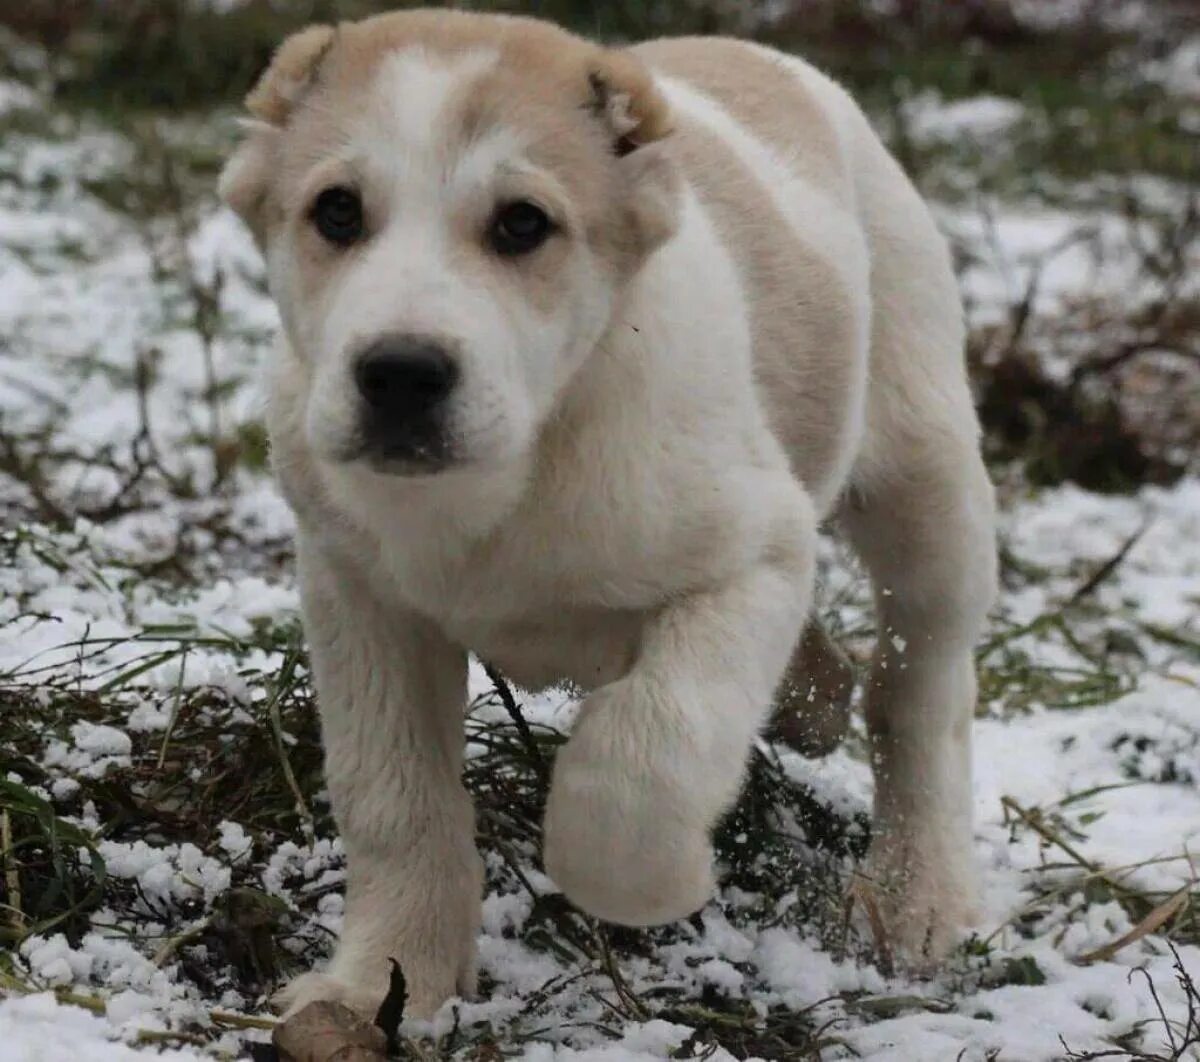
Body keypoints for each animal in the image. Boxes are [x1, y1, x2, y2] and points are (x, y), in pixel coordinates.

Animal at [220, 8, 998, 1017]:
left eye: (522, 224)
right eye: (337, 212)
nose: (399, 374)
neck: (525, 455)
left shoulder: (755, 558)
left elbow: (649, 752)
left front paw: (654, 886)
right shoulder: (359, 595)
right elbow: (393, 797)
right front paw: (382, 981)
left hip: (925, 483)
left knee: (921, 688)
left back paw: (917, 895)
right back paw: (816, 704)